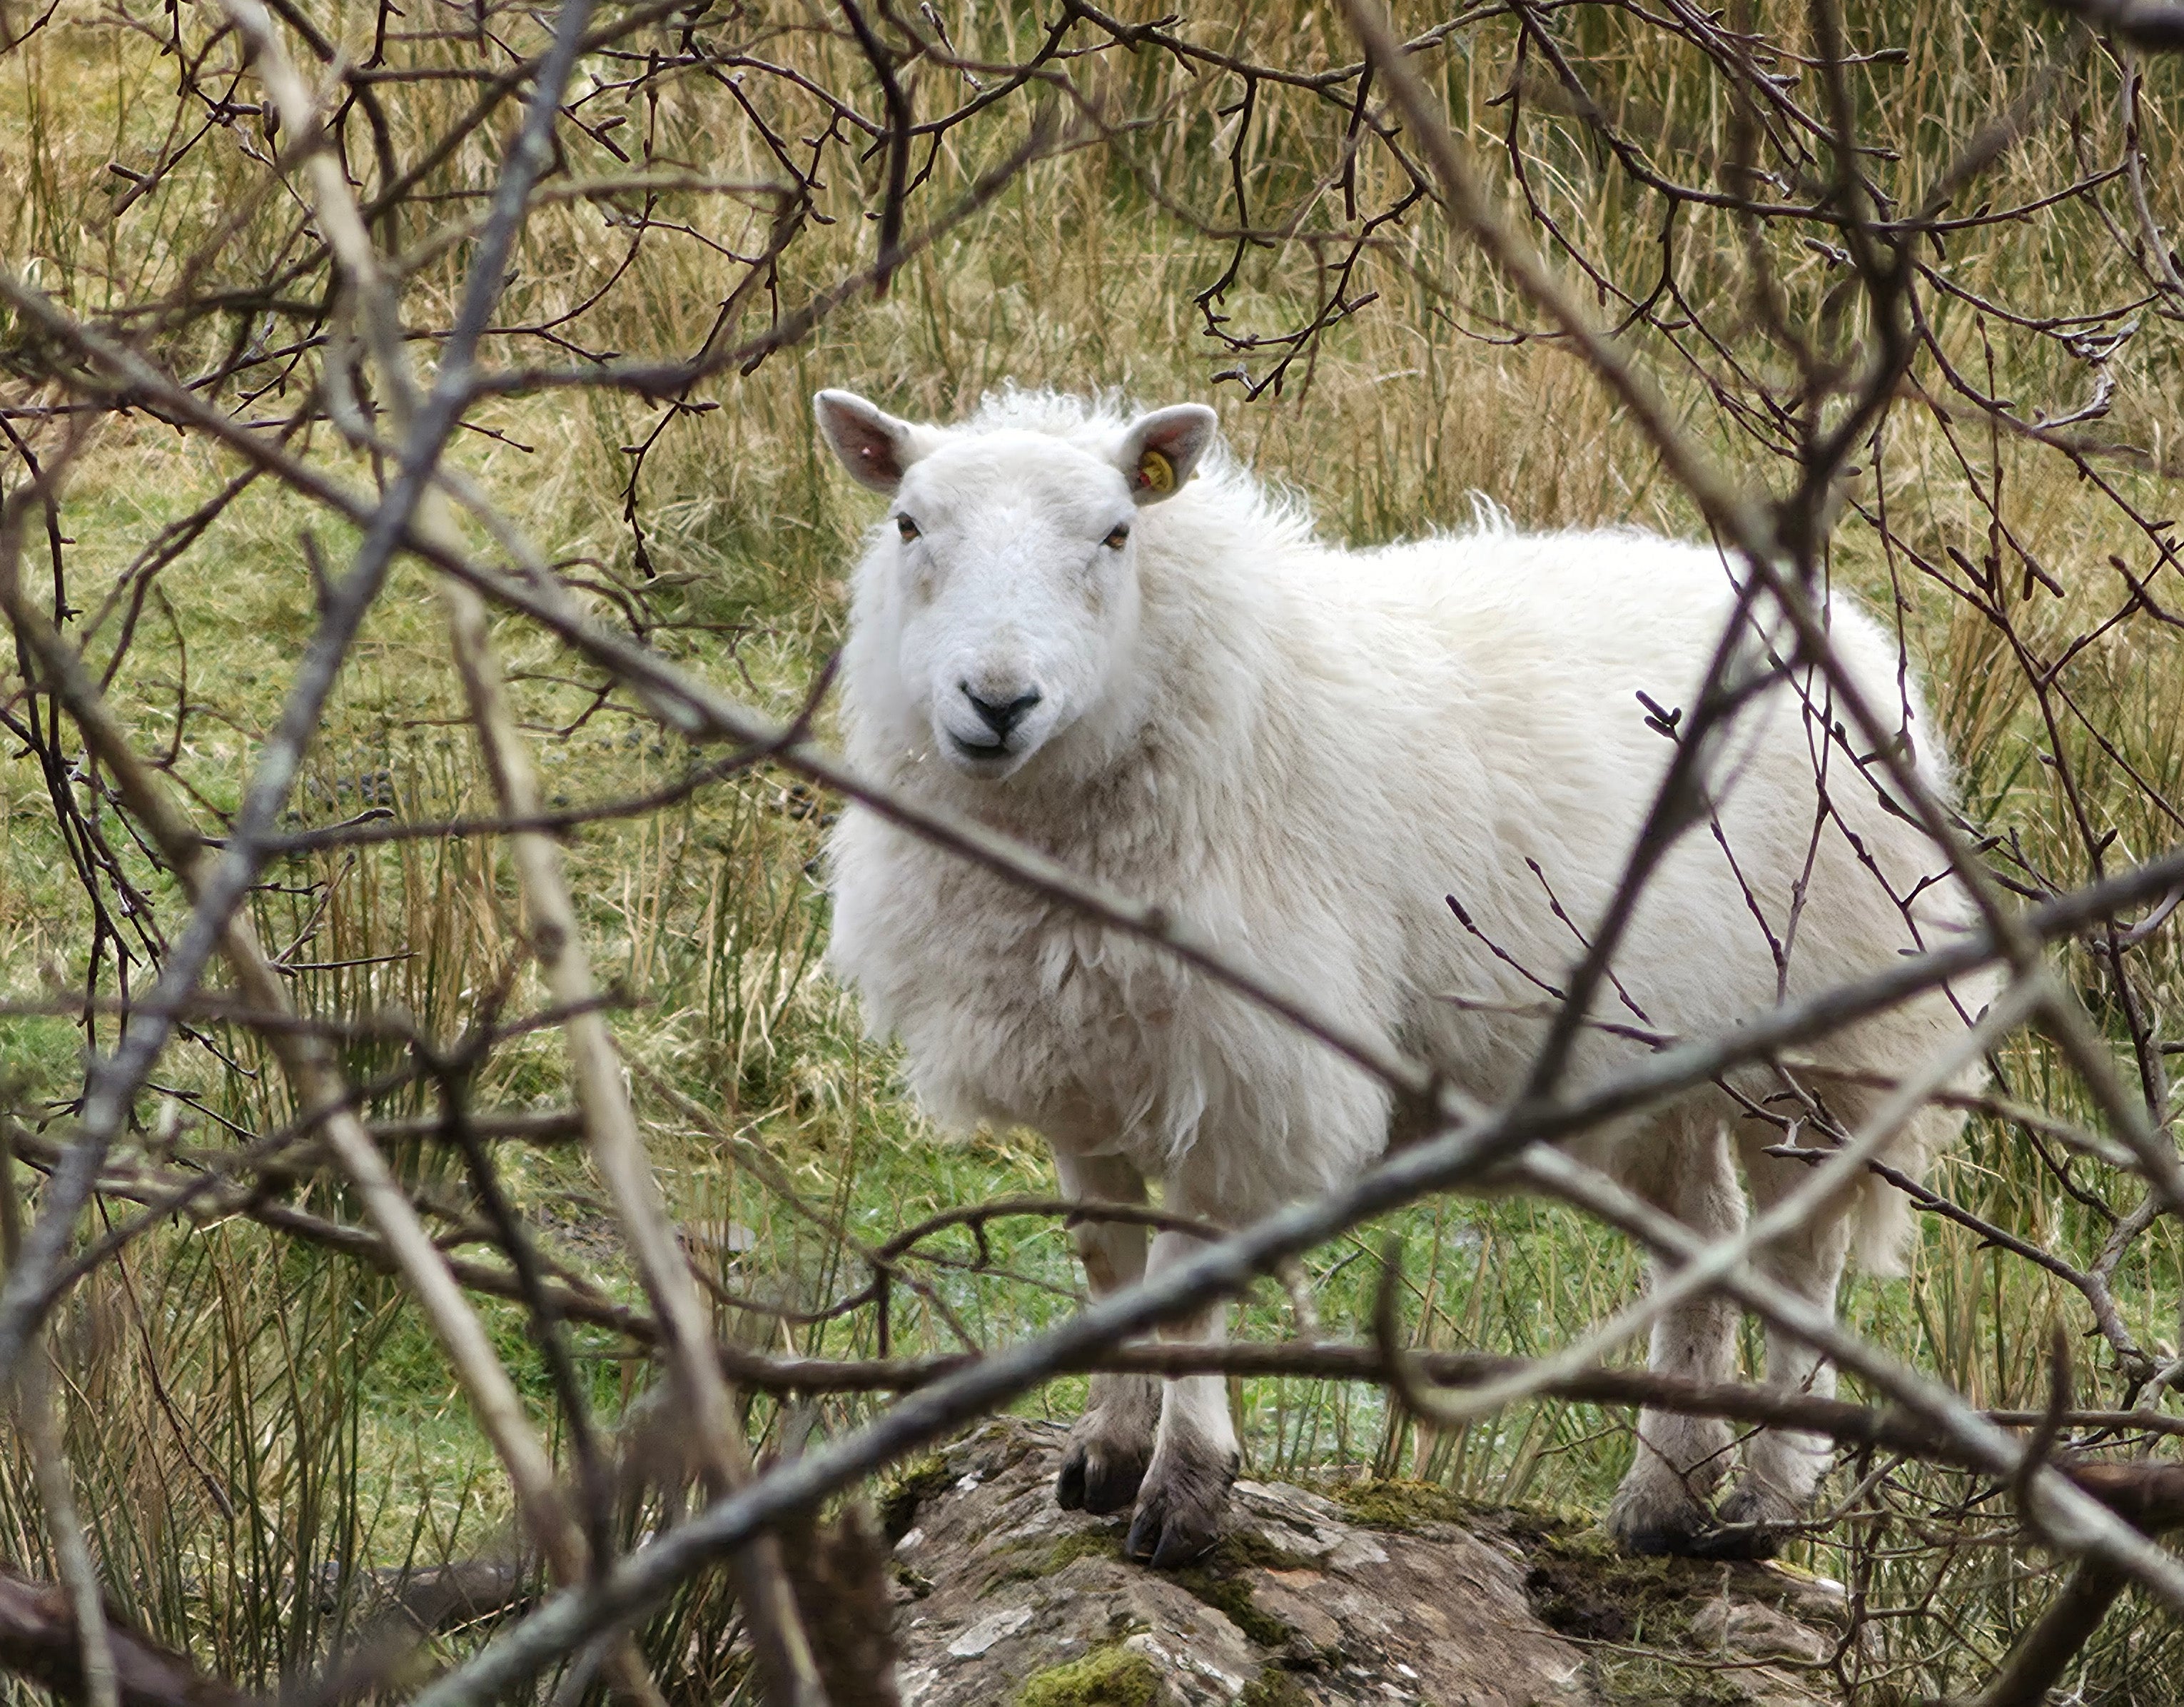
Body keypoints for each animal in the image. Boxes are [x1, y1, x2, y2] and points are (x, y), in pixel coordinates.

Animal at [813, 385, 1993, 1568]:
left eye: (1115, 534)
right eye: (910, 524)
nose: (997, 699)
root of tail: (1839, 626)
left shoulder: (1243, 1069)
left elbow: (1183, 1295)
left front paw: (1185, 1490)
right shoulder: (1083, 1066)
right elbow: (1109, 1263)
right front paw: (1105, 1451)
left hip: (1831, 1038)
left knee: (1800, 1260)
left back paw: (1761, 1500)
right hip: (1665, 1056)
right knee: (1698, 1240)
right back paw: (1666, 1495)